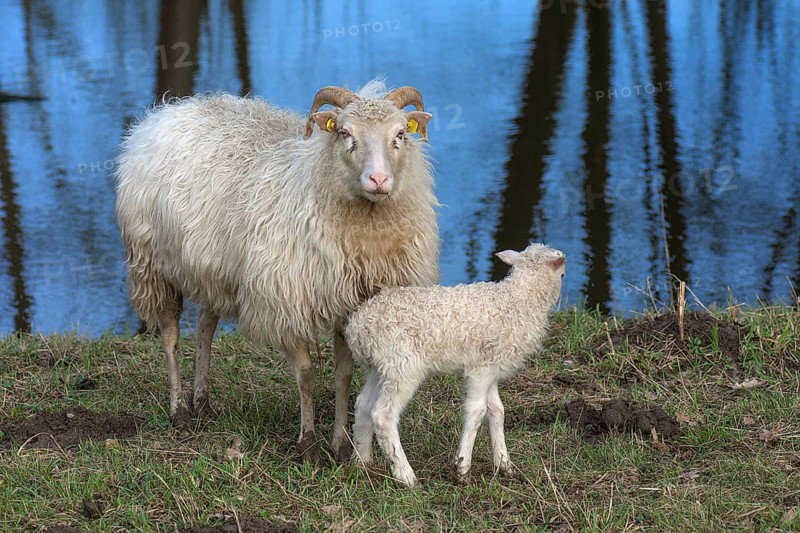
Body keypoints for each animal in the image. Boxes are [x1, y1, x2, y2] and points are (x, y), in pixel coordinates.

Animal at [114, 80, 440, 461]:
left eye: (400, 133)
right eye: (345, 133)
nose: (378, 179)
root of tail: (169, 110)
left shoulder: (350, 304)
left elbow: (343, 376)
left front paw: (342, 445)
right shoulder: (286, 304)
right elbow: (306, 376)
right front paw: (308, 443)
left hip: (212, 268)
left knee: (206, 327)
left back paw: (202, 401)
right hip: (153, 264)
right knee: (170, 335)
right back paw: (179, 409)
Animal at [346, 243, 565, 487]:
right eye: (563, 274)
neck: (519, 300)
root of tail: (358, 326)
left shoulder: (491, 367)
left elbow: (496, 410)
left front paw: (504, 464)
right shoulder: (480, 371)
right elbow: (477, 411)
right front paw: (462, 468)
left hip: (378, 367)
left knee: (363, 405)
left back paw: (361, 462)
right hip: (402, 366)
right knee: (383, 415)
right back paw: (406, 475)